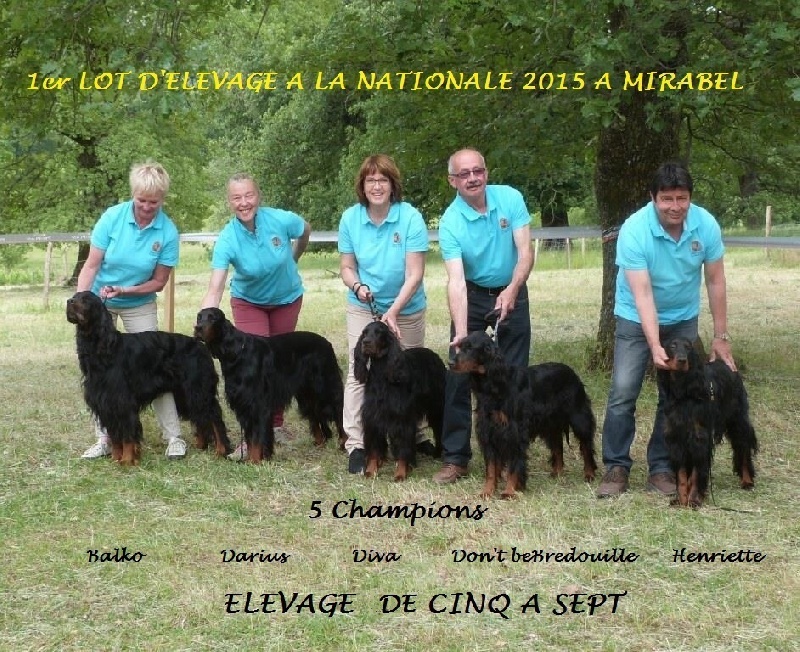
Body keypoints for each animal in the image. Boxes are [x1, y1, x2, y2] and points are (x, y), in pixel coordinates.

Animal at [66, 291, 231, 465]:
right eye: (74, 296)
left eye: (86, 300)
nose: (69, 301)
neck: (102, 347)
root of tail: (200, 344)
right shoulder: (105, 402)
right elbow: (115, 436)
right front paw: (116, 458)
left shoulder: (122, 401)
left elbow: (127, 435)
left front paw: (127, 461)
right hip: (185, 394)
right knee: (200, 418)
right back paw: (201, 445)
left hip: (198, 391)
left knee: (214, 418)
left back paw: (221, 450)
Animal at [194, 307, 346, 462]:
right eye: (199, 317)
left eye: (213, 318)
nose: (198, 328)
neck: (237, 352)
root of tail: (326, 343)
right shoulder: (244, 404)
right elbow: (250, 437)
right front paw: (253, 458)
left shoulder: (257, 405)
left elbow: (256, 438)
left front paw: (254, 461)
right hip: (307, 395)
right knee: (315, 417)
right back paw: (320, 444)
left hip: (327, 388)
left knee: (340, 413)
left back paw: (344, 444)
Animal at [353, 321, 446, 480]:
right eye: (364, 332)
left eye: (379, 332)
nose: (366, 342)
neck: (381, 374)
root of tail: (434, 355)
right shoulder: (373, 417)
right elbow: (374, 448)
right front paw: (371, 470)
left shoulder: (402, 419)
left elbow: (403, 446)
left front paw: (401, 472)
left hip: (437, 408)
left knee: (439, 430)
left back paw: (437, 453)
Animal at [451, 331, 597, 498]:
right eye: (460, 346)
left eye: (470, 348)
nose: (450, 363)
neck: (496, 386)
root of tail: (572, 372)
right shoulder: (488, 431)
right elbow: (491, 468)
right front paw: (487, 491)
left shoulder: (514, 432)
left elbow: (514, 466)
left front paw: (509, 491)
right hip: (550, 423)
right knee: (557, 445)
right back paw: (558, 472)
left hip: (579, 418)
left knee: (586, 446)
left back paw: (589, 474)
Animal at [659, 336, 758, 508]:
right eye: (672, 346)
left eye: (688, 347)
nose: (682, 360)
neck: (684, 393)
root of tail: (726, 364)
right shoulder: (677, 437)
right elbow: (682, 474)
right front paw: (681, 499)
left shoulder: (700, 437)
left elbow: (697, 473)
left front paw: (693, 499)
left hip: (737, 420)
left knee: (743, 447)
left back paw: (747, 480)